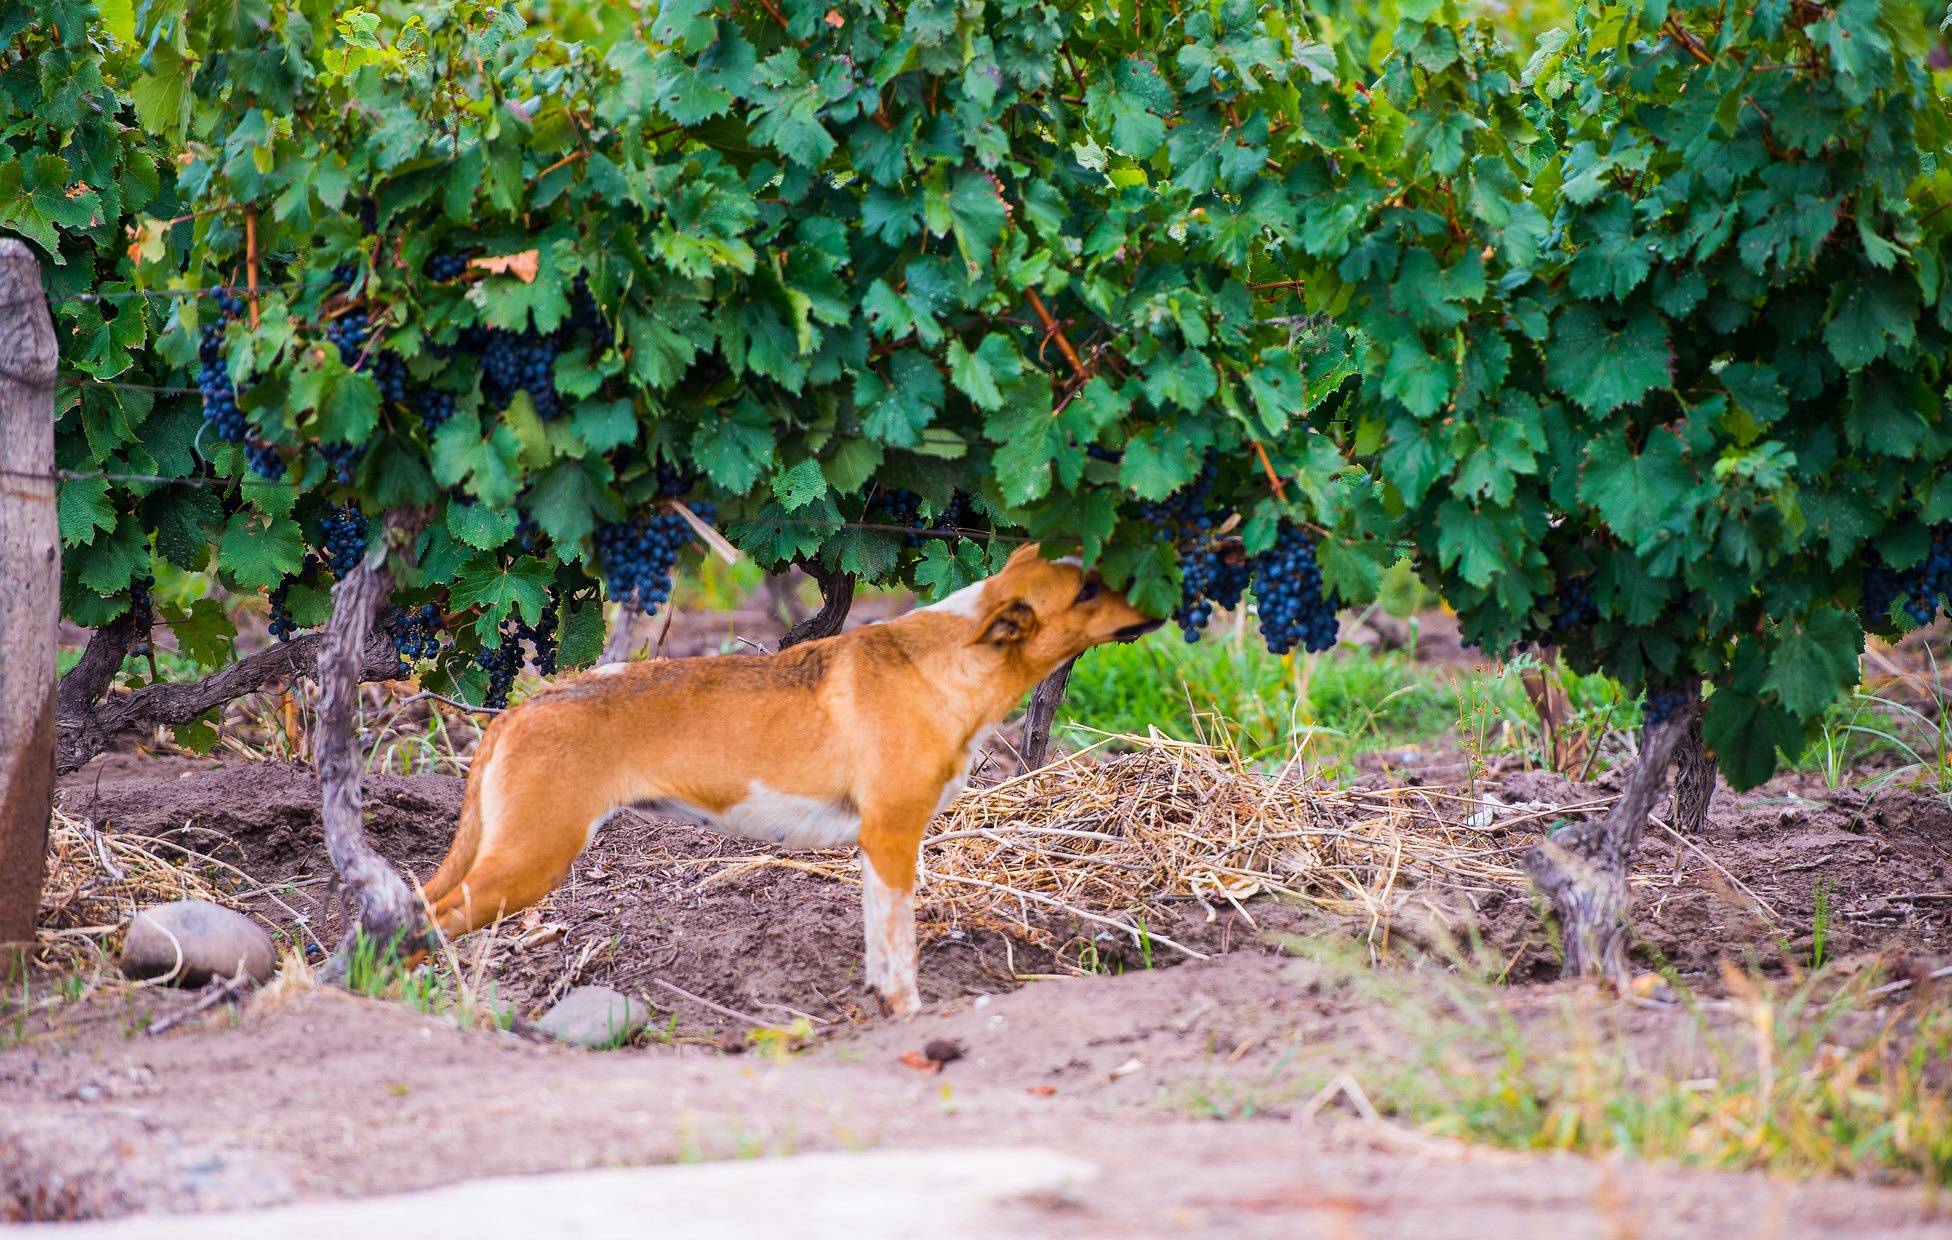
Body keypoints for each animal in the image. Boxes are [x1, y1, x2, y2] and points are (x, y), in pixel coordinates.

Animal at [419, 542, 1155, 1015]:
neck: (949, 660)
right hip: (526, 864)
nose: (1159, 592)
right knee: (428, 920)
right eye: (1087, 591)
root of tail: (518, 711)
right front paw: (912, 1018)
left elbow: (879, 946)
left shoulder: (877, 847)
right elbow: (903, 955)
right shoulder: (895, 837)